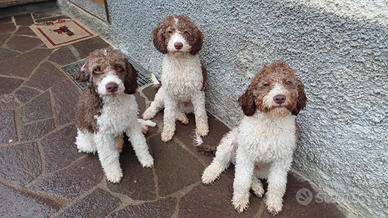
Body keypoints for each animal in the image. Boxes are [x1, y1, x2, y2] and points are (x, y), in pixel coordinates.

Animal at [75, 46, 154, 183]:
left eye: (118, 67)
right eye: (96, 69)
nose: (112, 86)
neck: (114, 102)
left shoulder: (131, 123)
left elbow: (140, 142)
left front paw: (146, 159)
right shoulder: (101, 133)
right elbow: (108, 155)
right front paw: (114, 173)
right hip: (86, 143)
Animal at [143, 14, 209, 142]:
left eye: (186, 32)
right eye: (169, 31)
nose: (178, 45)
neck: (179, 62)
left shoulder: (198, 93)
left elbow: (200, 113)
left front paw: (202, 128)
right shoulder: (169, 94)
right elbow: (168, 115)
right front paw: (167, 132)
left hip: (189, 105)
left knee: (177, 111)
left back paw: (182, 117)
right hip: (162, 94)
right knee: (156, 105)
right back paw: (148, 113)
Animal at [202, 61, 308, 215]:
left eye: (288, 82)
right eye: (265, 84)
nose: (280, 98)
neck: (270, 122)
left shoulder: (282, 160)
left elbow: (278, 184)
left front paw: (274, 202)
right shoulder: (246, 154)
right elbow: (241, 180)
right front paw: (240, 200)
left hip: (264, 169)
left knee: (253, 175)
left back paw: (257, 186)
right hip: (231, 141)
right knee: (220, 161)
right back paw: (210, 174)